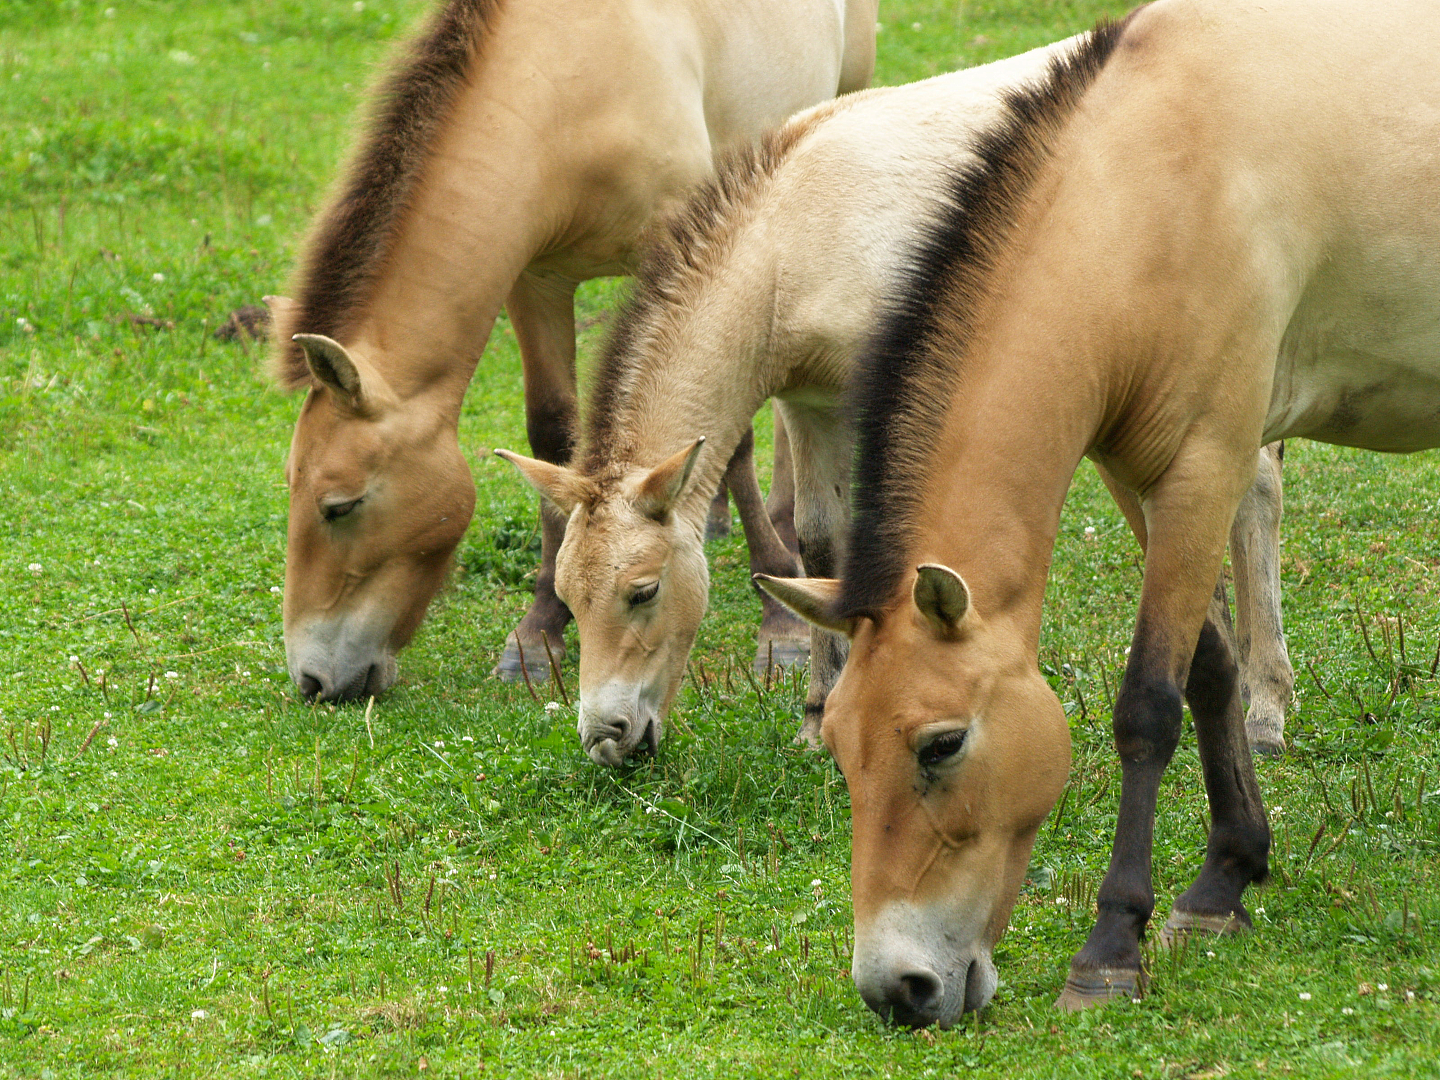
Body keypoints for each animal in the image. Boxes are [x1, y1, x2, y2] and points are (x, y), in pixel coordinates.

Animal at [267, 0, 876, 701]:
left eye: (338, 507)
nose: (312, 679)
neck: (566, 84)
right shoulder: (536, 282)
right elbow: (553, 432)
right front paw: (537, 635)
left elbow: (736, 441)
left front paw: (781, 625)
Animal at [498, 38, 1293, 767]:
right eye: (567, 596)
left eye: (643, 590)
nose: (607, 739)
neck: (795, 239)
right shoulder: (809, 404)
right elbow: (820, 539)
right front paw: (817, 714)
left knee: (1254, 485)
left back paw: (1266, 706)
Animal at [757, 0, 1440, 1026]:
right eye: (838, 745)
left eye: (942, 744)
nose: (897, 990)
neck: (1150, 193)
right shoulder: (1136, 470)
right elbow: (1211, 668)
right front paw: (1226, 878)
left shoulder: (1208, 465)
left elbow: (1149, 703)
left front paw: (1114, 944)